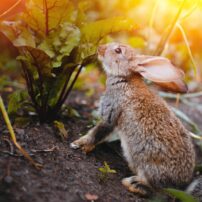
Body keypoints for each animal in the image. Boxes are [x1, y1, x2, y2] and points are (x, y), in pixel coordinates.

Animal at [70, 42, 199, 197]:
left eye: (118, 50)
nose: (100, 48)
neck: (125, 77)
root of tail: (180, 186)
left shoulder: (110, 113)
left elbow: (97, 132)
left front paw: (78, 144)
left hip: (147, 165)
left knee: (155, 190)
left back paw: (132, 184)